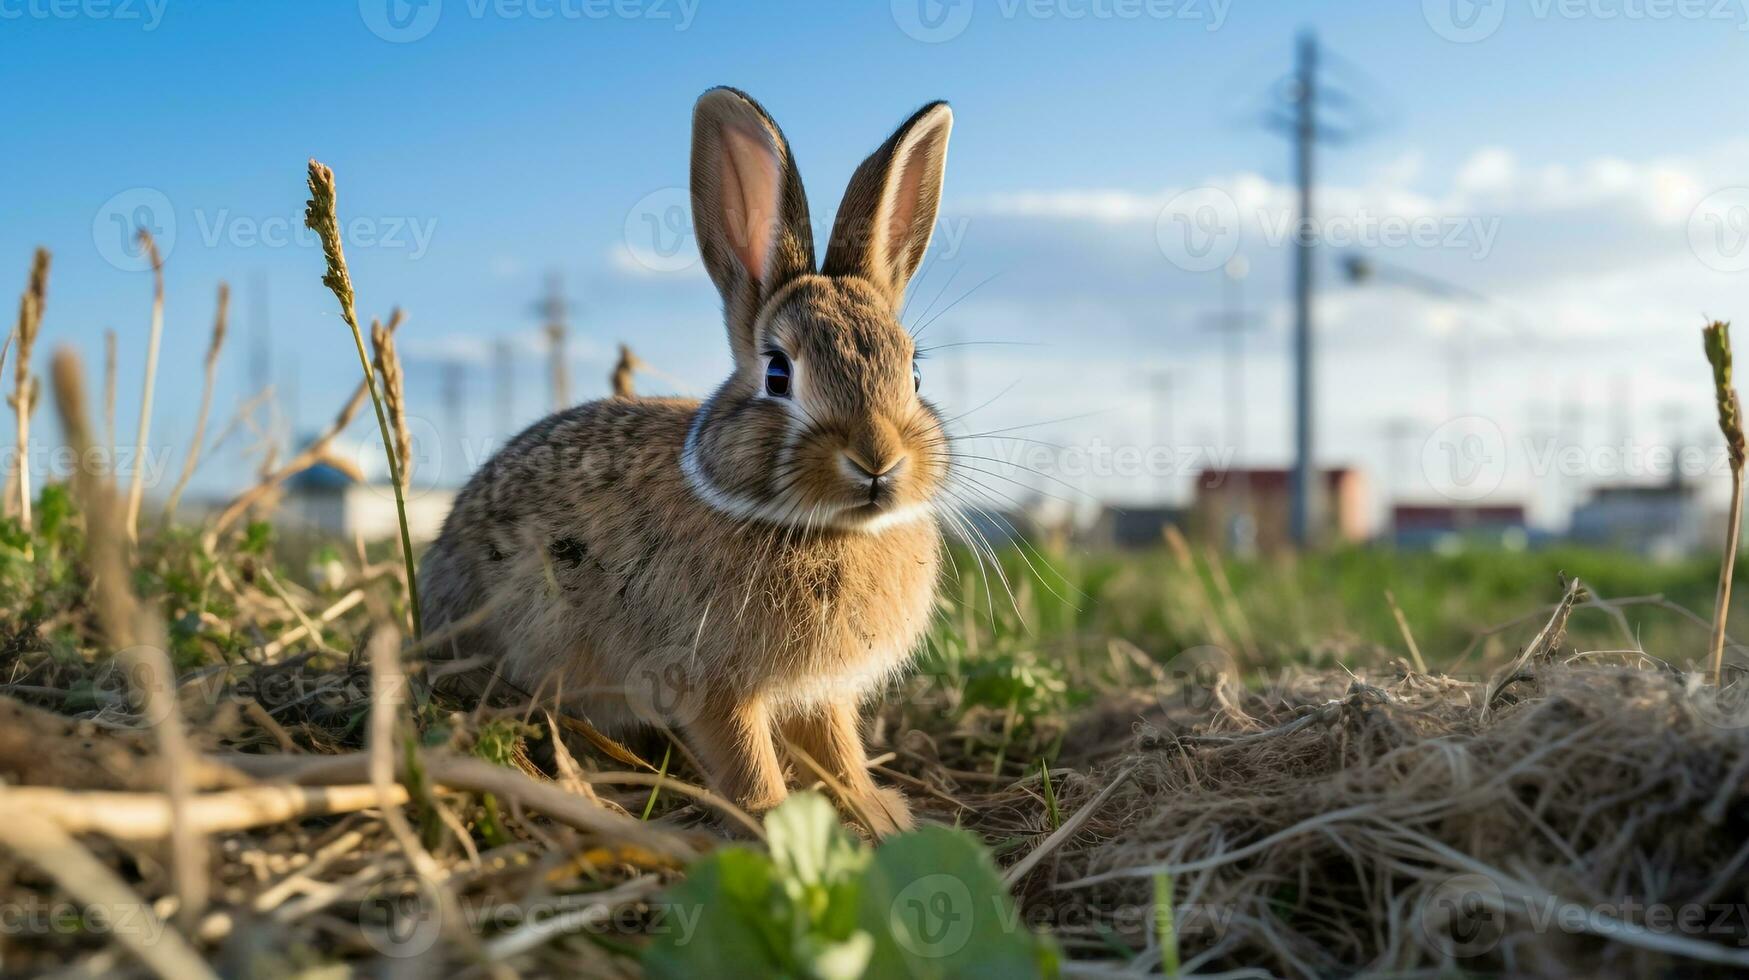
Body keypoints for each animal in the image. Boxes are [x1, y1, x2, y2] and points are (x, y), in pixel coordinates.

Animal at [421, 87, 958, 829]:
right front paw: (769, 819)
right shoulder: (709, 682)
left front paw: (873, 814)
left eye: (914, 374)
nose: (876, 460)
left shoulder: (820, 692)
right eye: (777, 374)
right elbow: (745, 755)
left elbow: (836, 748)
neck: (822, 528)